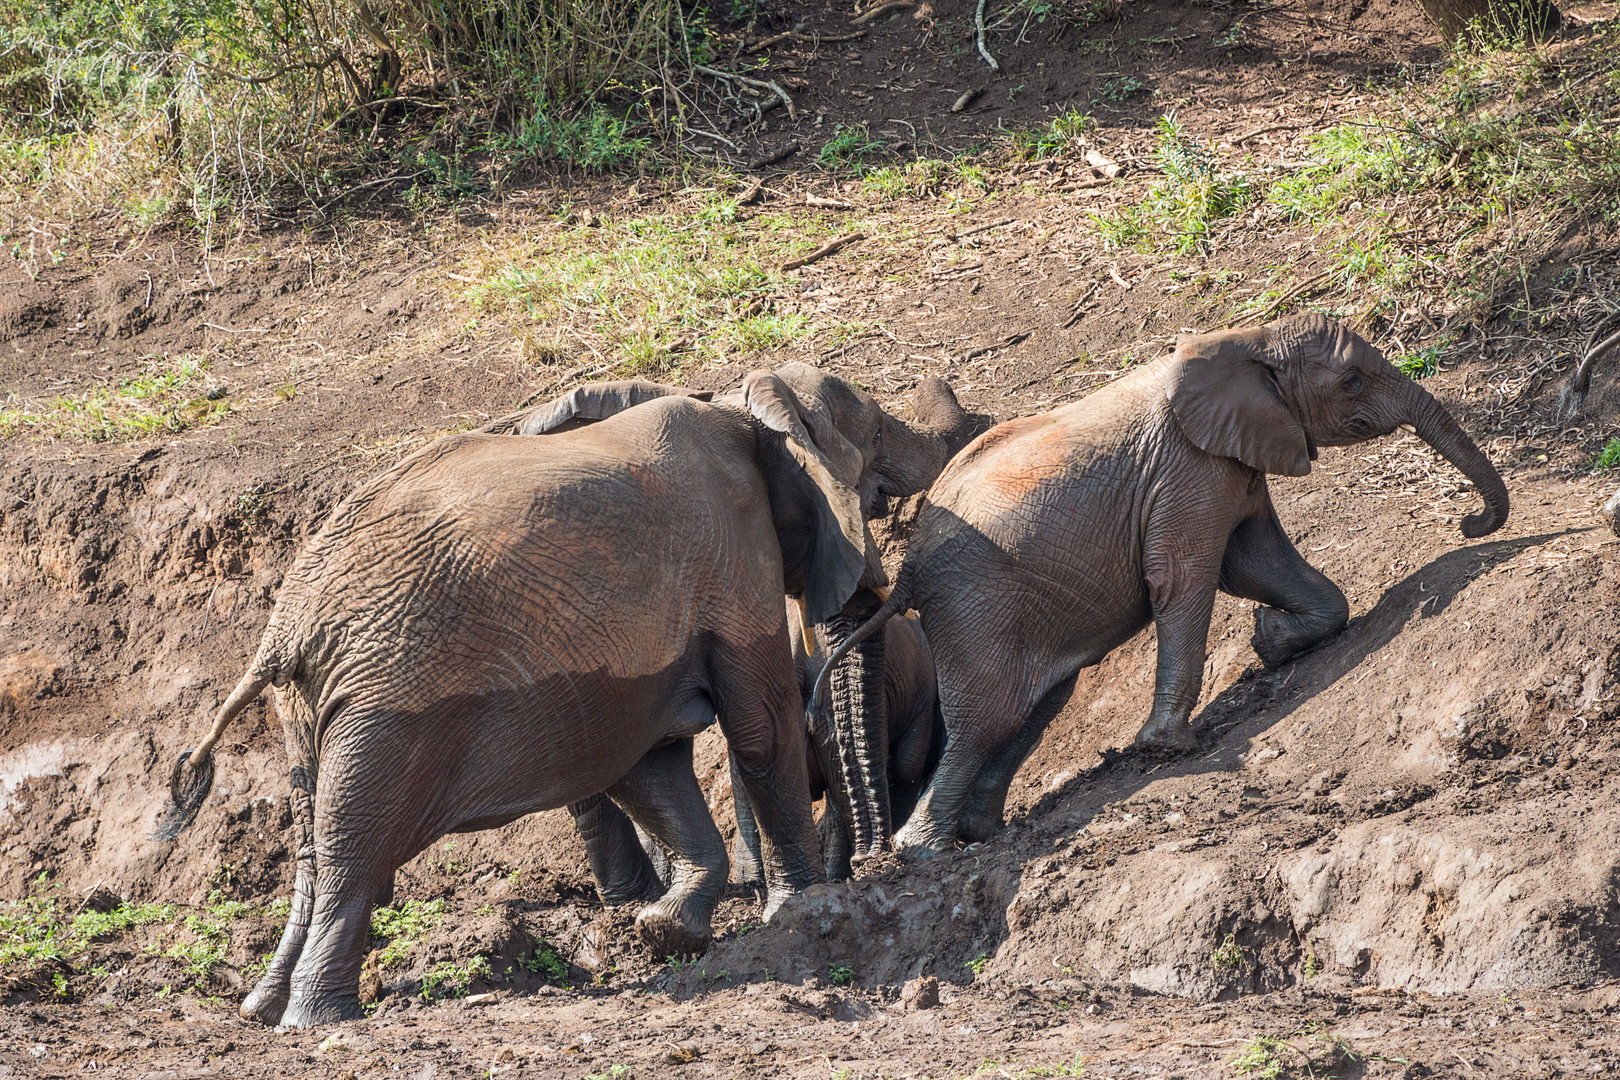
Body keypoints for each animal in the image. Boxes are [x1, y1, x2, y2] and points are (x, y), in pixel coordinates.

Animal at [164, 365, 965, 1029]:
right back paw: (319, 1020)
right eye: (876, 448)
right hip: (384, 704)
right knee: (350, 846)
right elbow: (758, 729)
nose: (873, 865)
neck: (739, 404)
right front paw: (799, 912)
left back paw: (263, 1009)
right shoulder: (734, 554)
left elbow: (647, 763)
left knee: (311, 842)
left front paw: (668, 928)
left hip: (304, 706)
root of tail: (286, 627)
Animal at [816, 312, 1509, 861]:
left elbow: (1255, 560)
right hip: (972, 605)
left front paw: (1270, 641)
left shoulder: (1230, 460)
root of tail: (906, 565)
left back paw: (984, 833)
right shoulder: (1191, 469)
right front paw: (1171, 746)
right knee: (986, 718)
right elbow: (1189, 577)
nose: (1468, 522)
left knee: (1033, 708)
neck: (1246, 338)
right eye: (1353, 380)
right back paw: (926, 854)